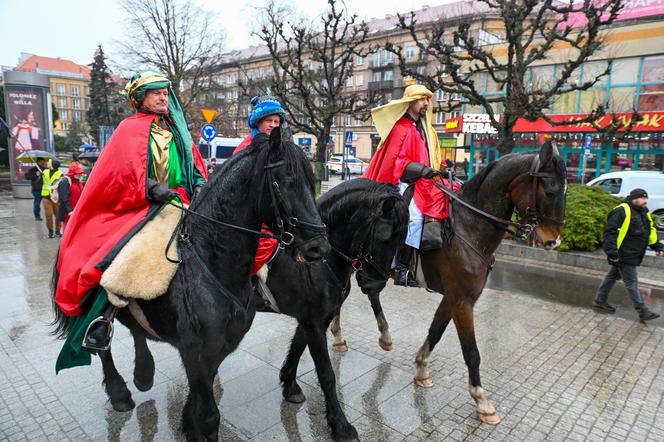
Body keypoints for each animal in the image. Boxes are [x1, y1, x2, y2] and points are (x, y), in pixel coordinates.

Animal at [50, 126, 330, 440]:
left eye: (312, 181)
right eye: (287, 181)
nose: (319, 247)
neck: (212, 263)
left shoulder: (216, 350)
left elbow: (199, 402)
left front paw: (186, 421)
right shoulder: (197, 352)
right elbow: (208, 416)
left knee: (135, 328)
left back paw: (143, 372)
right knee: (102, 344)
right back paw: (119, 391)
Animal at [262, 178, 408, 440]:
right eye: (386, 238)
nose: (374, 285)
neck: (318, 262)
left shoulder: (314, 318)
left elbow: (297, 347)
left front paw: (289, 386)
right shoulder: (313, 321)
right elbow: (326, 374)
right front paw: (341, 425)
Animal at [330, 142, 564, 424]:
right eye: (550, 191)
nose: (553, 241)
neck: (469, 227)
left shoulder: (453, 297)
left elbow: (436, 331)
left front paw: (421, 369)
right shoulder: (463, 302)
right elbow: (471, 352)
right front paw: (481, 400)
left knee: (364, 292)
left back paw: (376, 335)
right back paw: (344, 335)